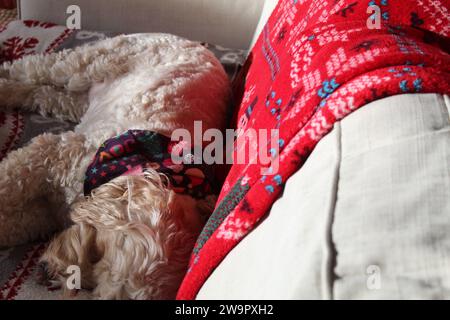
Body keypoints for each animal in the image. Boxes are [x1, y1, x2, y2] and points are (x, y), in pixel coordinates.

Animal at [0, 33, 229, 298]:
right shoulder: (53, 154)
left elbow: (17, 224)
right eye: (96, 251)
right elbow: (8, 181)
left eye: (90, 287)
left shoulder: (47, 211)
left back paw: (10, 91)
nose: (45, 273)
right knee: (30, 68)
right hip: (90, 62)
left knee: (42, 94)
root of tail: (195, 43)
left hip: (77, 99)